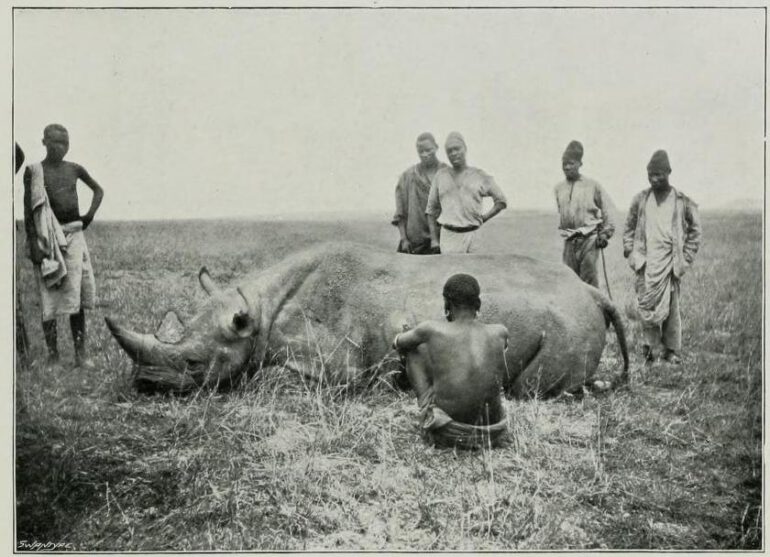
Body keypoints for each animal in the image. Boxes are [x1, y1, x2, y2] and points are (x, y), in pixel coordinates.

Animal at [105, 241, 628, 397]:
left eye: (194, 364)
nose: (144, 385)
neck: (257, 311)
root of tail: (592, 292)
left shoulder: (333, 368)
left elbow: (267, 378)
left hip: (566, 322)